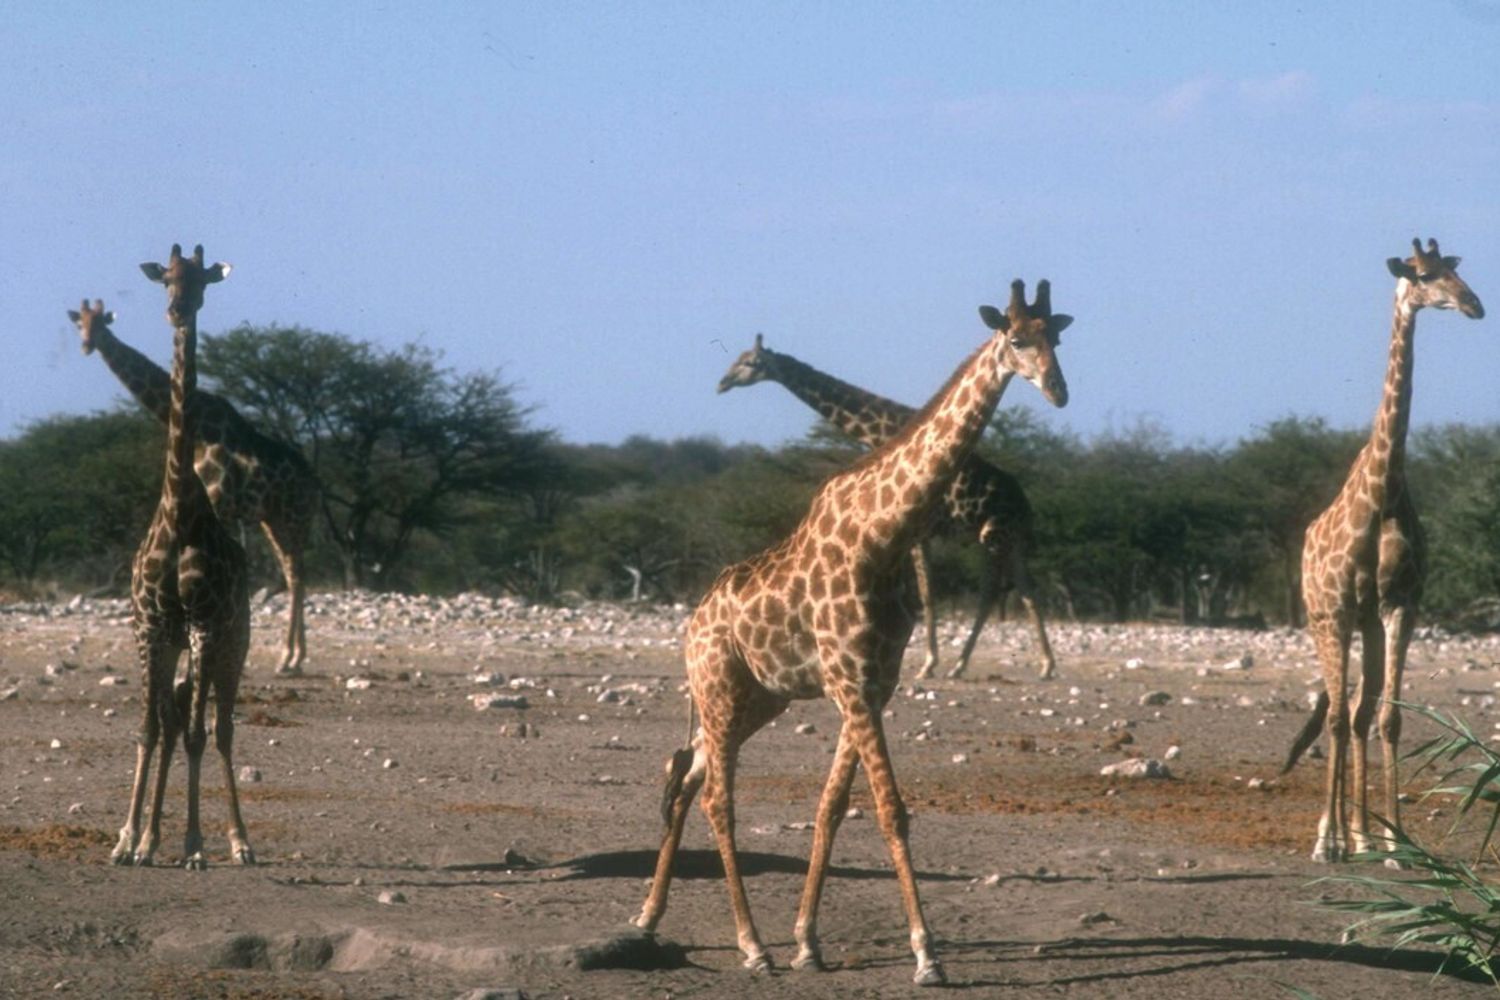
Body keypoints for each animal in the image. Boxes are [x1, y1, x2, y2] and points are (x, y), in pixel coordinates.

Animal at [69, 301, 317, 674]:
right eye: (80, 323)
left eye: (99, 322)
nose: (86, 344)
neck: (201, 430)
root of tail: (313, 481)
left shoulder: (218, 501)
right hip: (271, 518)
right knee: (292, 571)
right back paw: (290, 657)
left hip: (294, 516)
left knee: (298, 573)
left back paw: (292, 657)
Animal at [717, 334, 1057, 680]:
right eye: (738, 360)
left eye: (750, 363)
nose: (722, 383)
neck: (880, 432)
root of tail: (1026, 506)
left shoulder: (919, 533)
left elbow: (926, 595)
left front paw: (927, 663)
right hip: (1010, 539)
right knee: (1026, 589)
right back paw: (1042, 665)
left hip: (994, 536)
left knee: (992, 593)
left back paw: (966, 665)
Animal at [1283, 239, 1484, 863]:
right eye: (1422, 275)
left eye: (1456, 272)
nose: (1474, 305)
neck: (1385, 490)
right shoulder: (1341, 609)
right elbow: (1337, 721)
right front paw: (1327, 841)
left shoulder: (1400, 604)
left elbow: (1389, 718)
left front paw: (1397, 840)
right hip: (1323, 618)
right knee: (1337, 715)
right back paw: (1335, 836)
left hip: (1367, 621)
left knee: (1359, 711)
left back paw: (1363, 834)